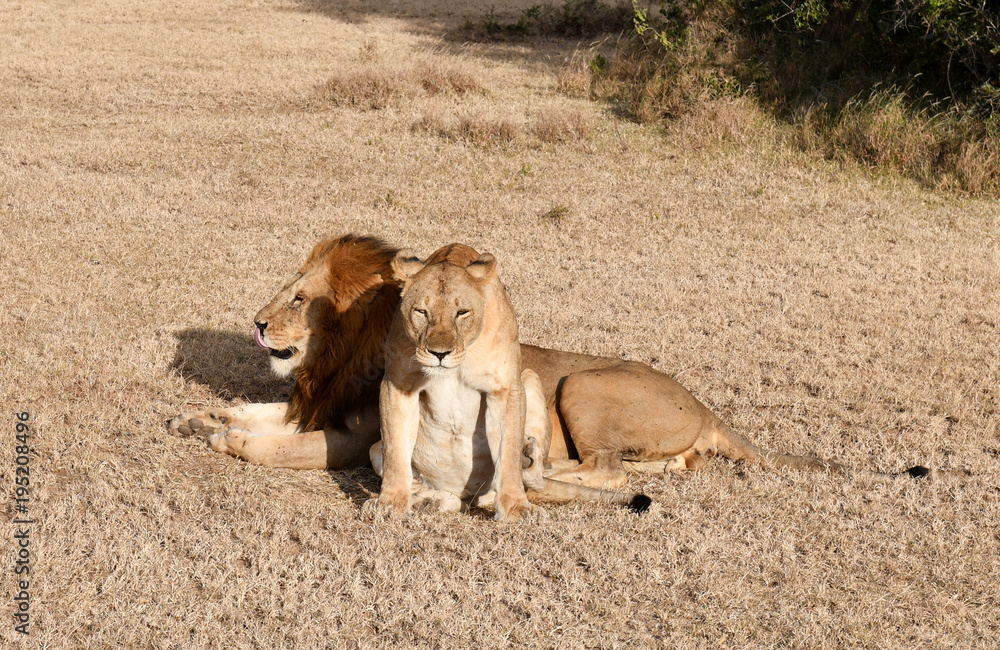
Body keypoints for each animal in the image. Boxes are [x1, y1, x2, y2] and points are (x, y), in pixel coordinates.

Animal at [170, 233, 936, 502]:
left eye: (298, 298)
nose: (258, 322)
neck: (340, 356)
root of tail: (708, 407)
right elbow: (259, 410)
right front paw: (198, 417)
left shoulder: (353, 440)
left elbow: (269, 446)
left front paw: (225, 438)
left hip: (581, 385)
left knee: (609, 467)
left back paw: (543, 467)